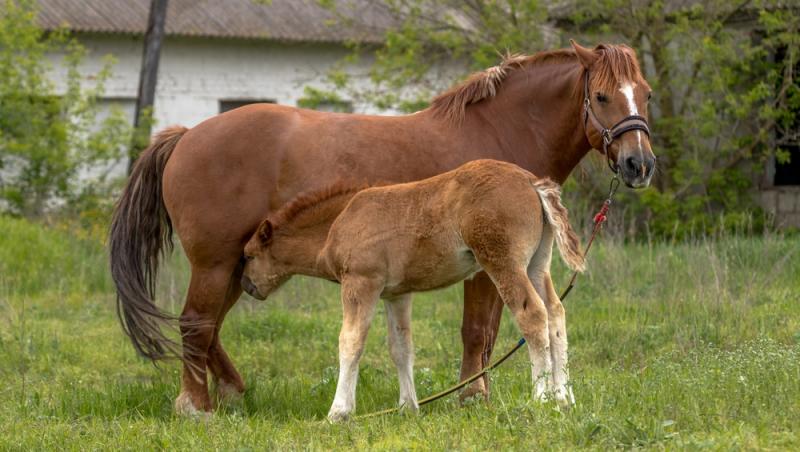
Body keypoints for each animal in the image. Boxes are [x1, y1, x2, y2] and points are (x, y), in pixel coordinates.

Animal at [108, 40, 656, 414]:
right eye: (601, 96)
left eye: (646, 95)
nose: (639, 164)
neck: (500, 130)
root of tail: (186, 135)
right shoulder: (485, 270)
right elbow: (478, 332)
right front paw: (473, 396)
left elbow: (488, 333)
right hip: (217, 263)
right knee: (195, 323)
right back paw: (196, 406)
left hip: (237, 268)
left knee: (208, 327)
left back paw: (230, 393)